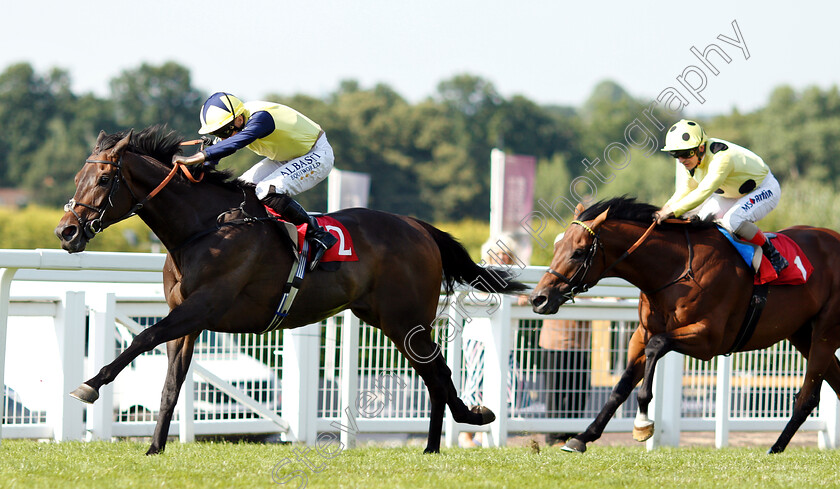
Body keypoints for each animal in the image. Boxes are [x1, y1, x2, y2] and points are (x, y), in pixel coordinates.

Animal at [55, 126, 524, 454]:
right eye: (77, 176)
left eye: (102, 180)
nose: (66, 231)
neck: (203, 228)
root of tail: (419, 227)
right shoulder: (187, 321)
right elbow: (171, 383)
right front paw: (154, 448)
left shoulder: (202, 307)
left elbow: (144, 337)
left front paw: (89, 385)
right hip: (385, 319)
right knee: (434, 376)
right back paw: (433, 445)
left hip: (405, 320)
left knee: (438, 374)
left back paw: (463, 423)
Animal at [532, 195, 840, 454]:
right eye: (558, 246)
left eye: (579, 252)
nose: (539, 298)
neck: (674, 269)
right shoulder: (641, 335)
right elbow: (621, 386)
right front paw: (582, 437)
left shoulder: (708, 339)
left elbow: (656, 349)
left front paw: (643, 423)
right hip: (802, 333)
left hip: (825, 332)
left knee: (808, 396)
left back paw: (775, 448)